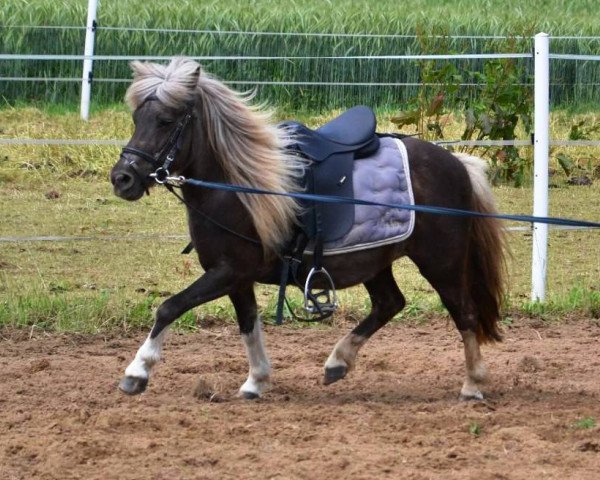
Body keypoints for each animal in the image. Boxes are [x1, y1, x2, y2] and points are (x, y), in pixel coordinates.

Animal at [109, 57, 506, 402]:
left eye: (165, 120)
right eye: (136, 118)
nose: (122, 178)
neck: (239, 186)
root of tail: (457, 163)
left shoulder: (228, 271)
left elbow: (169, 307)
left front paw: (137, 371)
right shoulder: (236, 277)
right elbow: (248, 325)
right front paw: (256, 381)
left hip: (441, 261)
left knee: (464, 313)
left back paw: (472, 384)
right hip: (374, 260)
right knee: (390, 303)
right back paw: (338, 362)